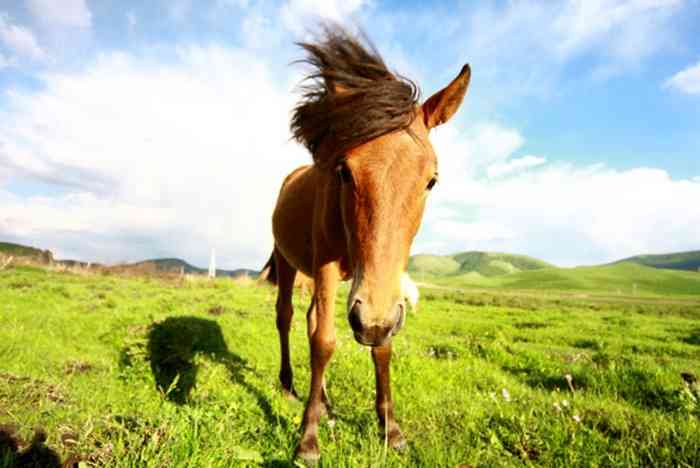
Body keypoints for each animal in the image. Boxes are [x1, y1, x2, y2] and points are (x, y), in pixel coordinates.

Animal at [266, 27, 474, 462]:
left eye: (431, 180)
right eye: (344, 171)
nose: (372, 322)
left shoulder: (384, 286)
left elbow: (380, 348)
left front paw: (390, 430)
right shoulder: (327, 268)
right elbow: (324, 342)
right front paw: (308, 440)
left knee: (309, 318)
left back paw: (325, 402)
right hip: (288, 262)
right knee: (287, 317)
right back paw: (289, 386)